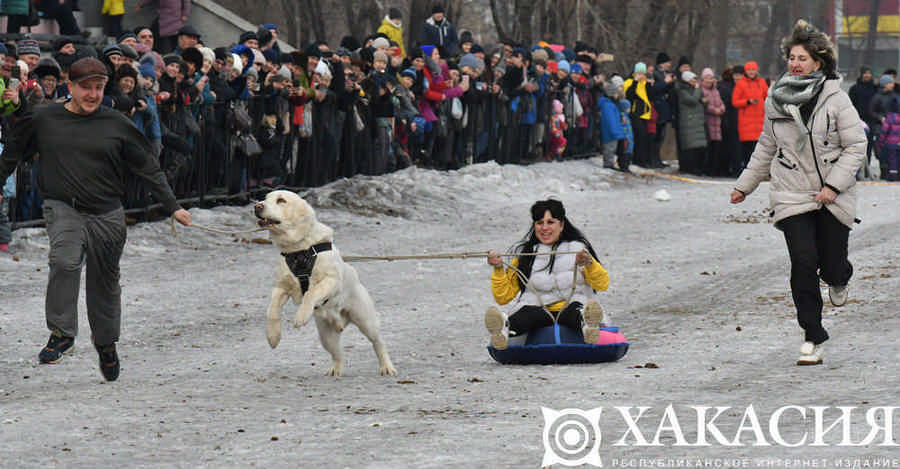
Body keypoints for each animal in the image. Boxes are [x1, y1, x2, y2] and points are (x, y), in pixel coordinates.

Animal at [251, 188, 396, 374]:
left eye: (281, 200)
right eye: (265, 198)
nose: (257, 206)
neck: (299, 250)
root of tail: (340, 320)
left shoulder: (331, 280)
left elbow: (311, 293)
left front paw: (301, 316)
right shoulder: (281, 287)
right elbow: (272, 310)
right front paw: (273, 336)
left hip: (366, 321)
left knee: (378, 342)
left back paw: (387, 367)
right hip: (326, 336)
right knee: (338, 354)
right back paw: (336, 370)